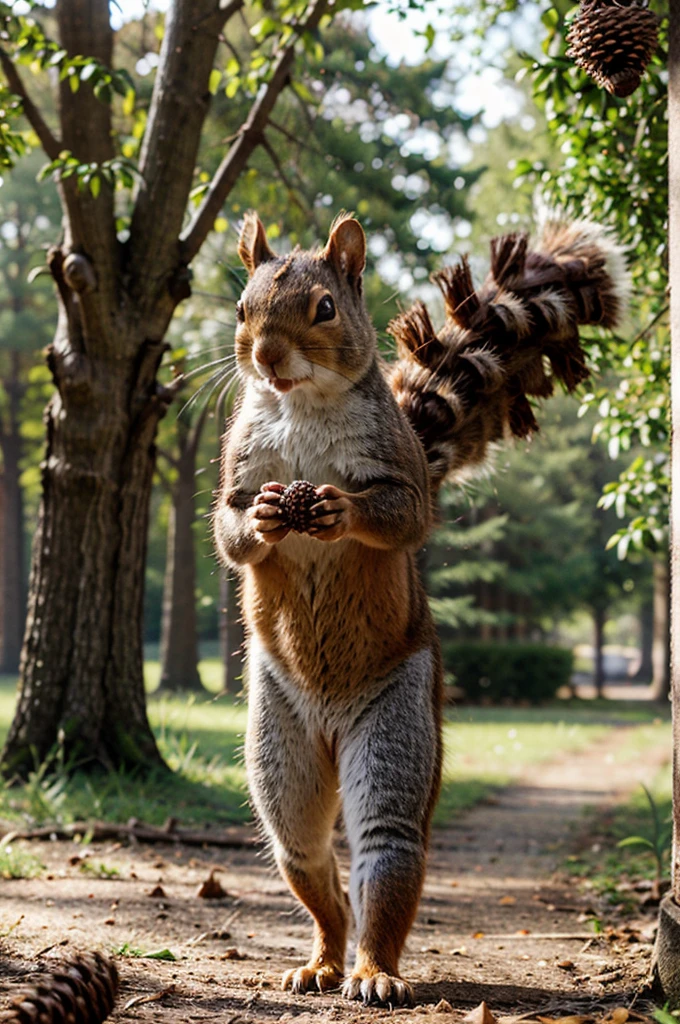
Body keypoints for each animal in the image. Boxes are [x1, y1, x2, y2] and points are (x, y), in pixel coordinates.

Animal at [214, 209, 626, 1007]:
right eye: (243, 308)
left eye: (325, 308)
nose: (269, 357)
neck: (301, 405)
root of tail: (332, 727)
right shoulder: (240, 473)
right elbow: (231, 530)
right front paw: (270, 521)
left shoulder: (399, 475)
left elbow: (401, 517)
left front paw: (336, 509)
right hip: (279, 750)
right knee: (315, 871)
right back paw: (320, 961)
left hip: (397, 730)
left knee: (387, 856)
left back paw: (375, 972)